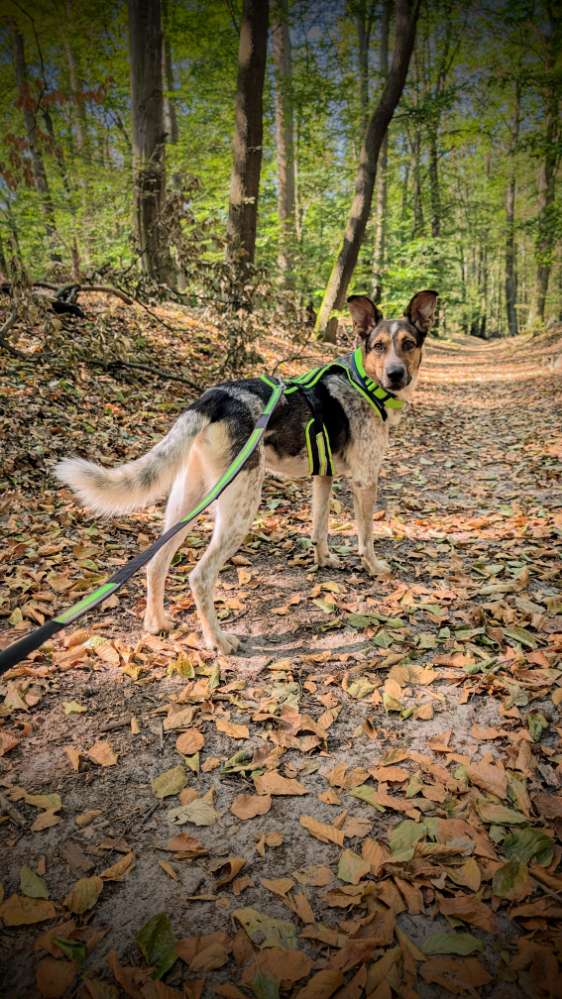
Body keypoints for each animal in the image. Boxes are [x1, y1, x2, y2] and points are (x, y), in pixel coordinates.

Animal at [54, 290, 436, 652]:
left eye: (408, 344)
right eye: (379, 346)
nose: (395, 375)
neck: (363, 381)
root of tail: (215, 397)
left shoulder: (322, 477)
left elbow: (319, 527)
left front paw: (325, 560)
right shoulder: (365, 480)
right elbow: (366, 537)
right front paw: (375, 568)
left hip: (189, 500)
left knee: (156, 562)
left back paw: (156, 623)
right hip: (240, 504)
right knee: (200, 576)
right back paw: (218, 642)